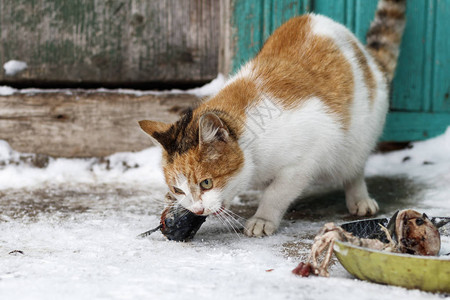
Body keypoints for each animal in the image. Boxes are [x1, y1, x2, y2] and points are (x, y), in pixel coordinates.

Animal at [139, 0, 406, 237]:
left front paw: (263, 218)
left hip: (361, 134)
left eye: (206, 183)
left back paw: (359, 198)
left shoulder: (307, 156)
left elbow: (277, 191)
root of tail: (368, 56)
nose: (197, 209)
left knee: (354, 168)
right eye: (177, 189)